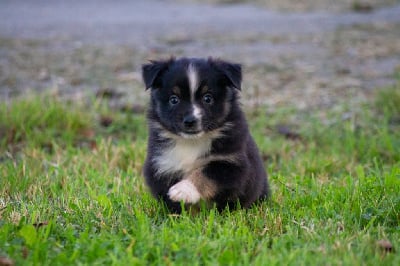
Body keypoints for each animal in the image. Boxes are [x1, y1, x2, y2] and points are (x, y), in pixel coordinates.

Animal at [142, 57, 270, 212]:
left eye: (207, 98)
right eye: (174, 99)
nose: (190, 121)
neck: (191, 142)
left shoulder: (232, 163)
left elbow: (205, 173)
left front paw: (183, 190)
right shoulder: (161, 164)